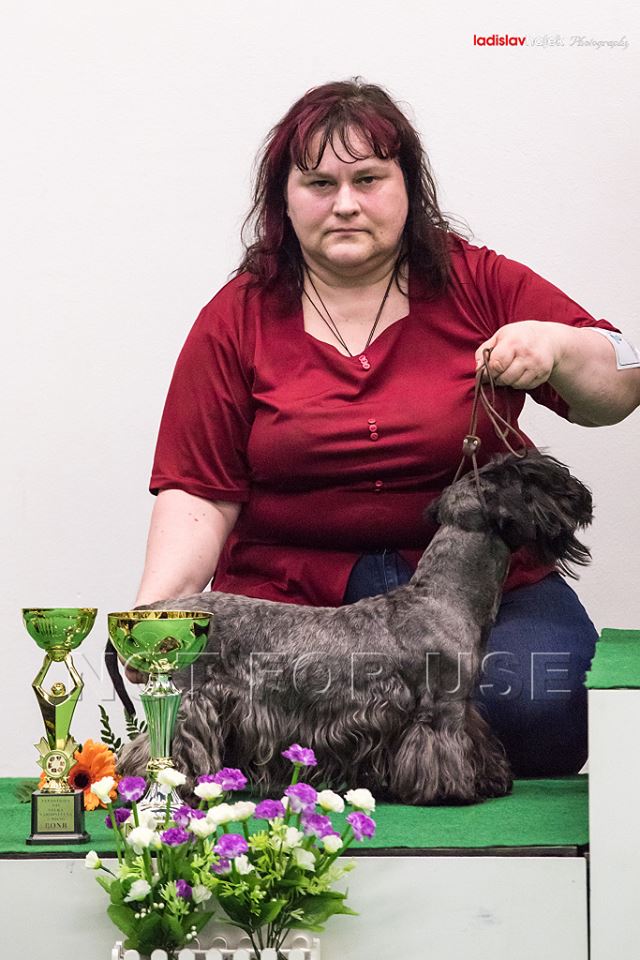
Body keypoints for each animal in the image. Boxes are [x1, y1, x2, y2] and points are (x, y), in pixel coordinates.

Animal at [119, 451, 592, 805]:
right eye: (532, 477)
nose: (580, 493)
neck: (443, 595)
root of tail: (163, 612)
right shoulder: (443, 707)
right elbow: (443, 751)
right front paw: (452, 791)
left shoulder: (461, 707)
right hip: (188, 700)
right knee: (158, 748)